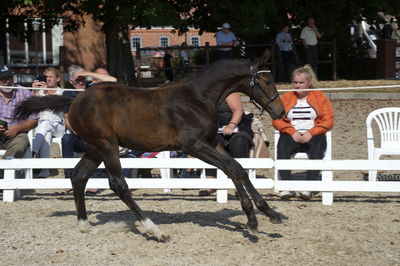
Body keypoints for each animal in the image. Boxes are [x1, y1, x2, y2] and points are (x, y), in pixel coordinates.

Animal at [14, 52, 284, 241]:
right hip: (107, 145)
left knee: (79, 176)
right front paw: (252, 221)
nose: (280, 111)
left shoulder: (211, 142)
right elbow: (231, 168)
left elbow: (237, 167)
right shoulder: (194, 146)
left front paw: (269, 213)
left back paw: (84, 224)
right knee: (118, 184)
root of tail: (75, 99)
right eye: (265, 80)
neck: (198, 98)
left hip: (94, 148)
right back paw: (154, 230)